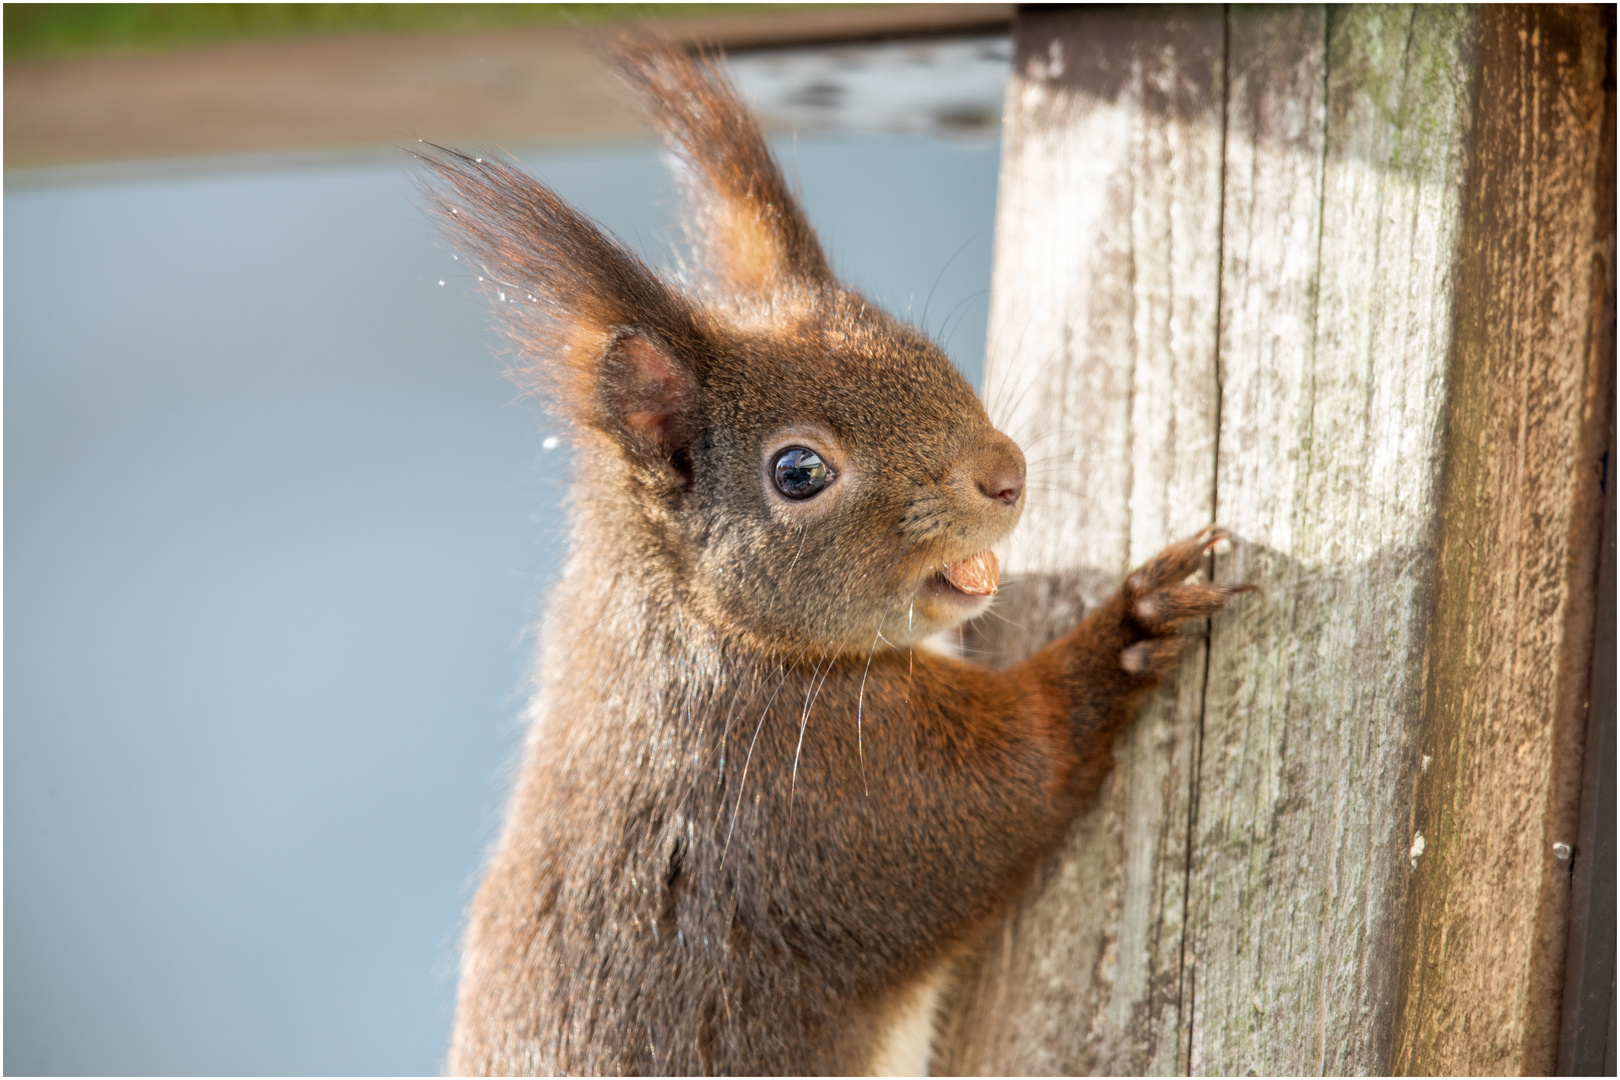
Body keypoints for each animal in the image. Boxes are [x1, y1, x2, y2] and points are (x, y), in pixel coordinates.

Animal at [424, 38, 1244, 1075]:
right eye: (799, 470)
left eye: (914, 341)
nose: (1006, 474)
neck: (702, 620)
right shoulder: (823, 792)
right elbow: (1024, 772)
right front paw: (1136, 621)